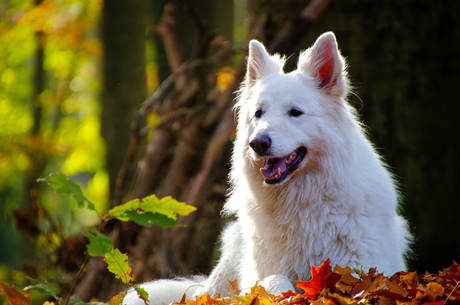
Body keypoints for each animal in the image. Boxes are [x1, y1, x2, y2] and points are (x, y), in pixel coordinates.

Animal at [123, 32, 414, 302]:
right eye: (258, 113)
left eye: (295, 112)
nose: (257, 143)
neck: (301, 201)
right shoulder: (263, 274)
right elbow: (274, 282)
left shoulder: (361, 272)